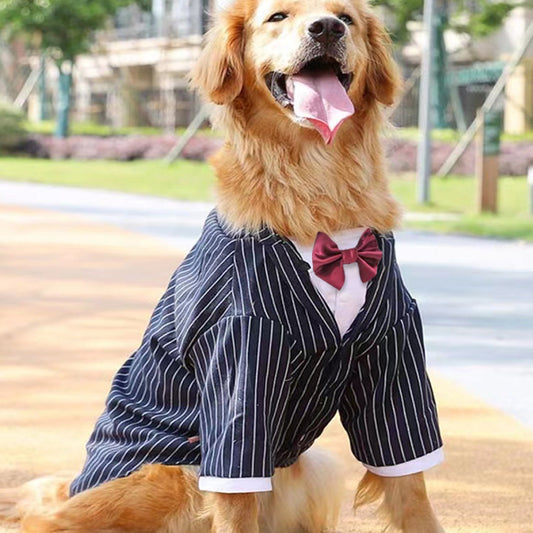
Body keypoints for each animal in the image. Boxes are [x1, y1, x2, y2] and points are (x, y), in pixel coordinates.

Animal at [4, 0, 444, 528]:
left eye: (347, 18)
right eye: (277, 17)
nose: (326, 28)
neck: (320, 189)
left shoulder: (393, 352)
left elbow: (411, 488)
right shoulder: (239, 353)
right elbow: (236, 495)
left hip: (311, 466)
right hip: (170, 471)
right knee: (48, 520)